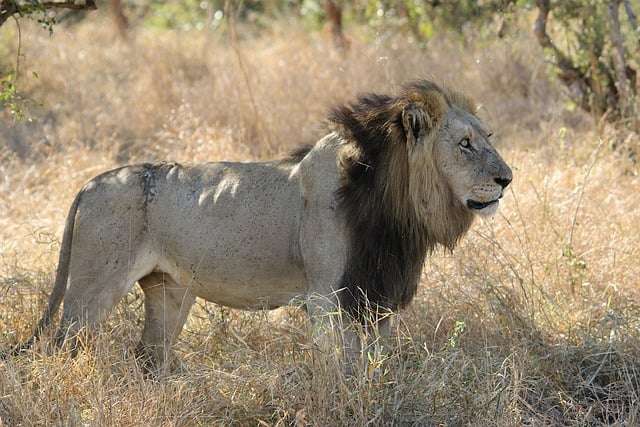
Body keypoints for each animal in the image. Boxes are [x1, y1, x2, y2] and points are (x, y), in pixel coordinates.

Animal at [10, 79, 512, 372]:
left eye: (487, 137)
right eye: (465, 144)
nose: (507, 179)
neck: (396, 209)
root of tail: (89, 184)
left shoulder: (378, 294)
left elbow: (378, 363)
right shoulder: (327, 297)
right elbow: (343, 369)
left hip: (169, 292)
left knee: (150, 356)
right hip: (91, 291)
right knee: (61, 348)